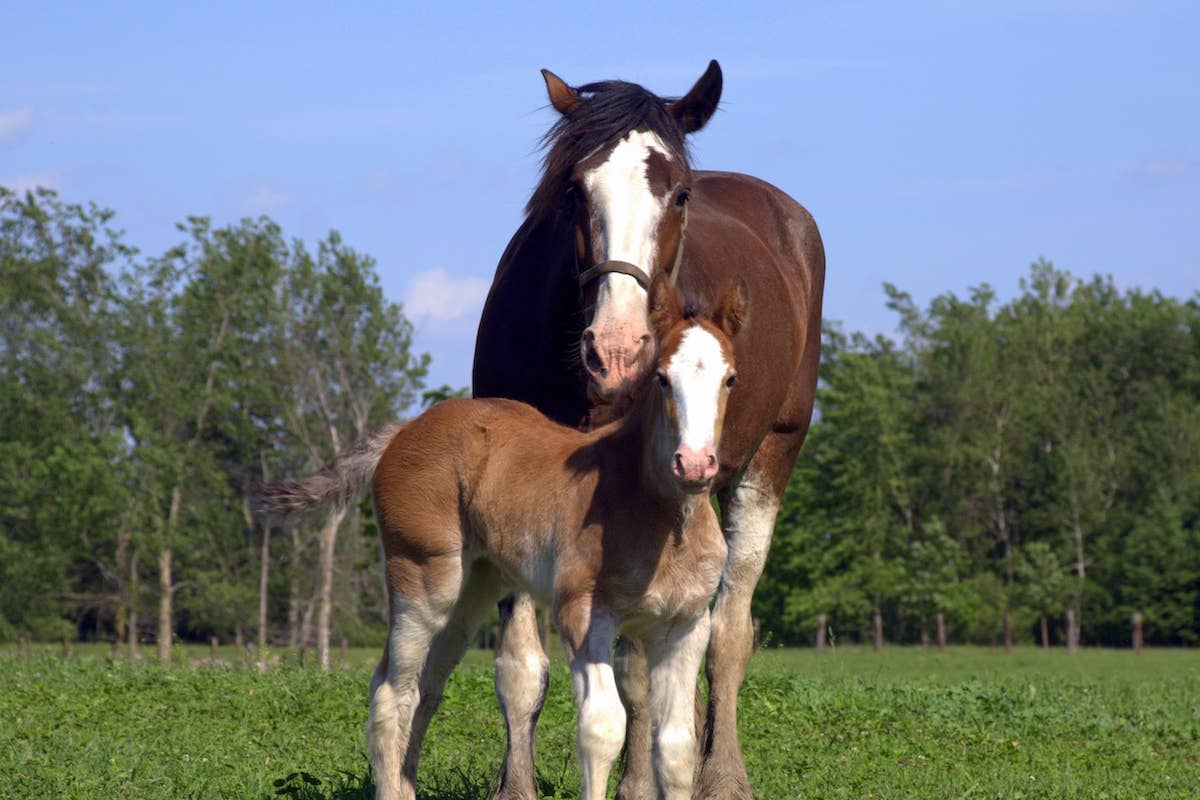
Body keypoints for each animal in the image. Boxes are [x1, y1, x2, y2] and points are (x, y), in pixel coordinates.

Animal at [259, 274, 749, 800]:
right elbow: (602, 727)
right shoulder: (583, 613)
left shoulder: (685, 626)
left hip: (472, 592)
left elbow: (676, 747)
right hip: (423, 581)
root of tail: (404, 429)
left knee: (424, 688)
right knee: (391, 691)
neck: (663, 522)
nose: (694, 465)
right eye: (661, 377)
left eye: (730, 378)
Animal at [472, 61, 825, 800]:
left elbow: (638, 668)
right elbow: (520, 668)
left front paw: (637, 782)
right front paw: (514, 785)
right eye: (573, 188)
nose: (618, 350)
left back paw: (720, 774)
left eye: (680, 194)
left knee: (727, 634)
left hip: (769, 462)